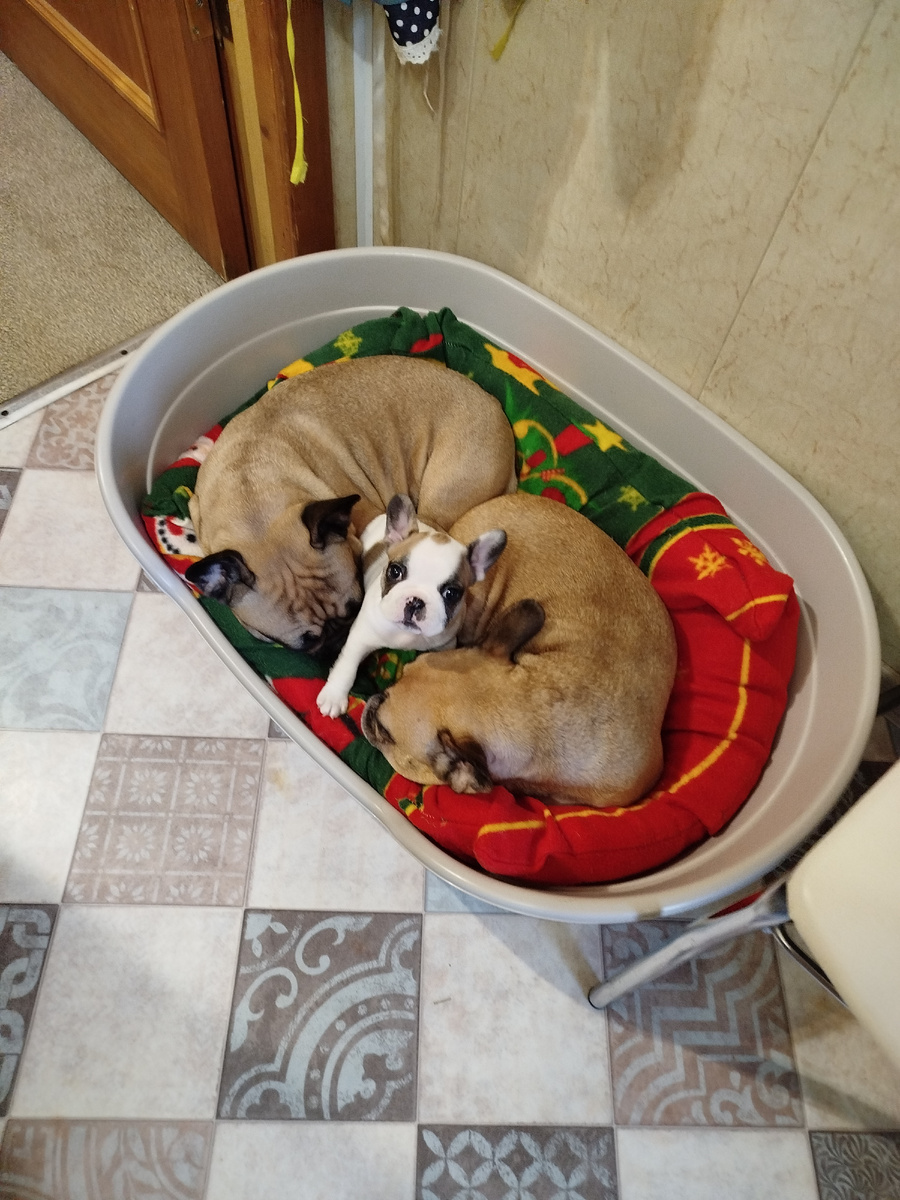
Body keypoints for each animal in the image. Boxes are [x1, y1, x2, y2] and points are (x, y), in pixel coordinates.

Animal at [315, 493, 507, 717]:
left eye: (451, 593)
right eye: (395, 571)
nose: (416, 601)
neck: (406, 635)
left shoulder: (445, 644)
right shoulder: (361, 636)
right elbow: (347, 665)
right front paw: (334, 697)